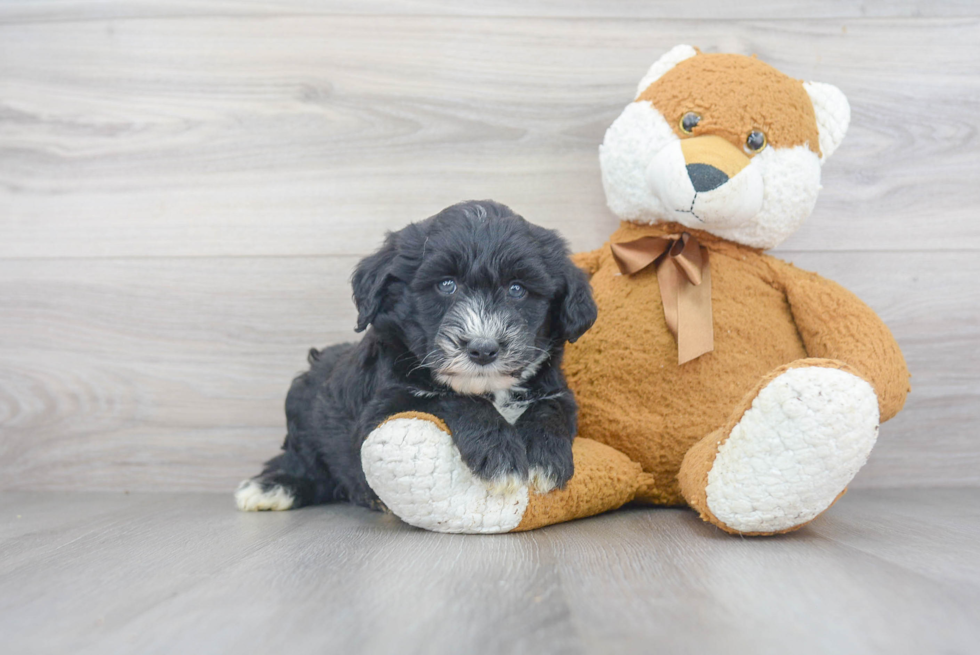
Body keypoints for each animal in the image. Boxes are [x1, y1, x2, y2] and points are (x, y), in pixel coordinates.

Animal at [239, 200, 596, 512]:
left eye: (517, 289)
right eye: (446, 285)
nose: (483, 349)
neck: (490, 389)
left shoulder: (558, 391)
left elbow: (549, 408)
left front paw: (544, 458)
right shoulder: (383, 409)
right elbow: (450, 398)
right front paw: (501, 455)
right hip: (301, 403)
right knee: (306, 466)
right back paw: (272, 487)